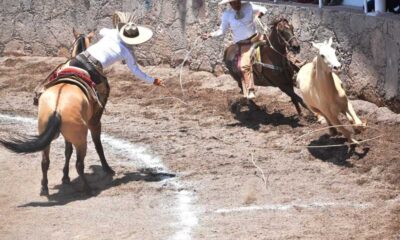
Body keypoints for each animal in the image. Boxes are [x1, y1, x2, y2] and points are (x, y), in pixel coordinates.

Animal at [0, 29, 113, 196]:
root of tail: (57, 107)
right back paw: (88, 189)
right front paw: (107, 168)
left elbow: (67, 151)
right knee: (79, 164)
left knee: (45, 161)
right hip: (81, 139)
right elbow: (98, 146)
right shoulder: (95, 123)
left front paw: (65, 176)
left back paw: (44, 188)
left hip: (47, 133)